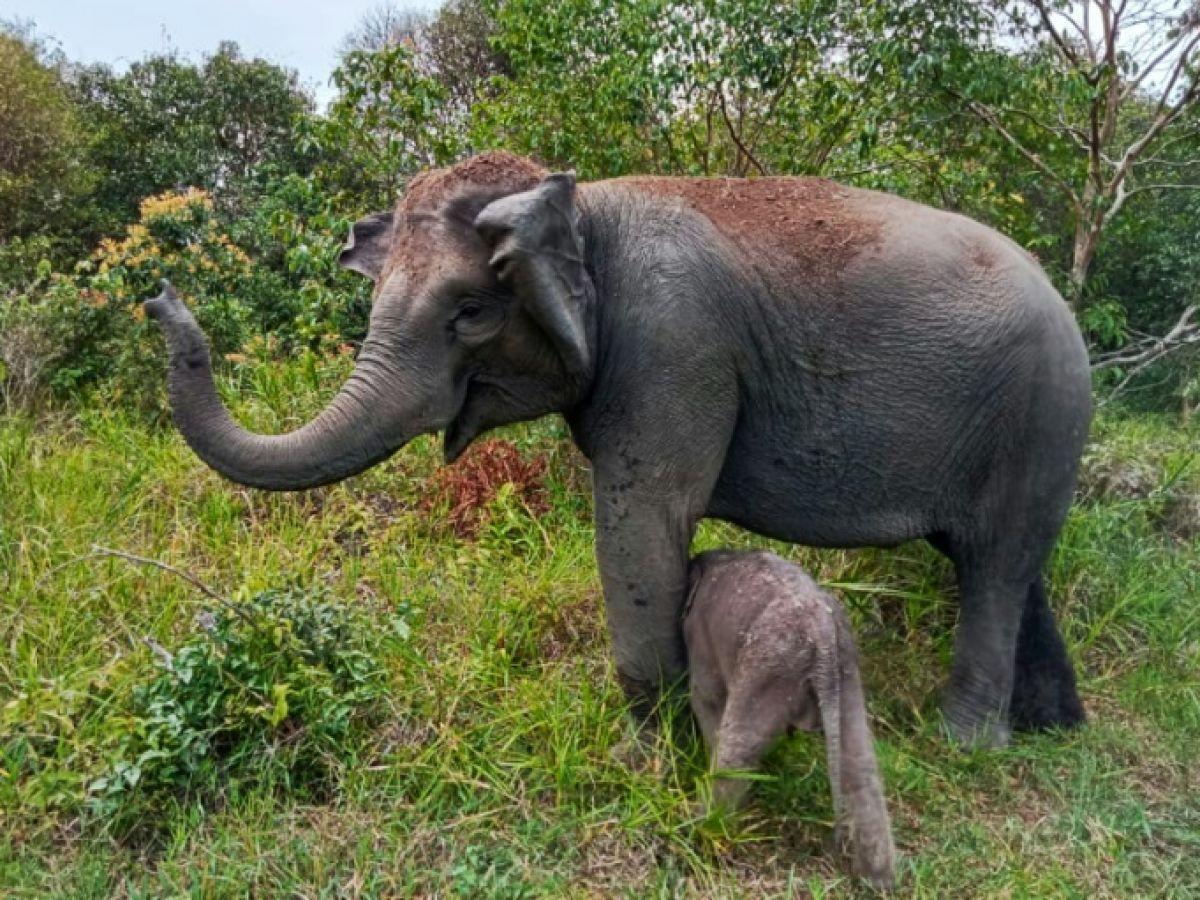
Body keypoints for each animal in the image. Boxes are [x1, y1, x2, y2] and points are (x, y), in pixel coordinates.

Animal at [144, 150, 1092, 748]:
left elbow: (644, 522)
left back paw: (965, 746)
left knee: (996, 565)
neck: (578, 201)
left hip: (1039, 412)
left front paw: (645, 758)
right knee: (1005, 563)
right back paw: (1052, 729)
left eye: (470, 313)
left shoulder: (675, 347)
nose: (158, 295)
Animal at [684, 549, 895, 890]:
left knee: (737, 750)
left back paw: (698, 829)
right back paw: (879, 881)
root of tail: (823, 639)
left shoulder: (699, 639)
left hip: (771, 668)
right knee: (861, 766)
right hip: (847, 671)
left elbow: (705, 698)